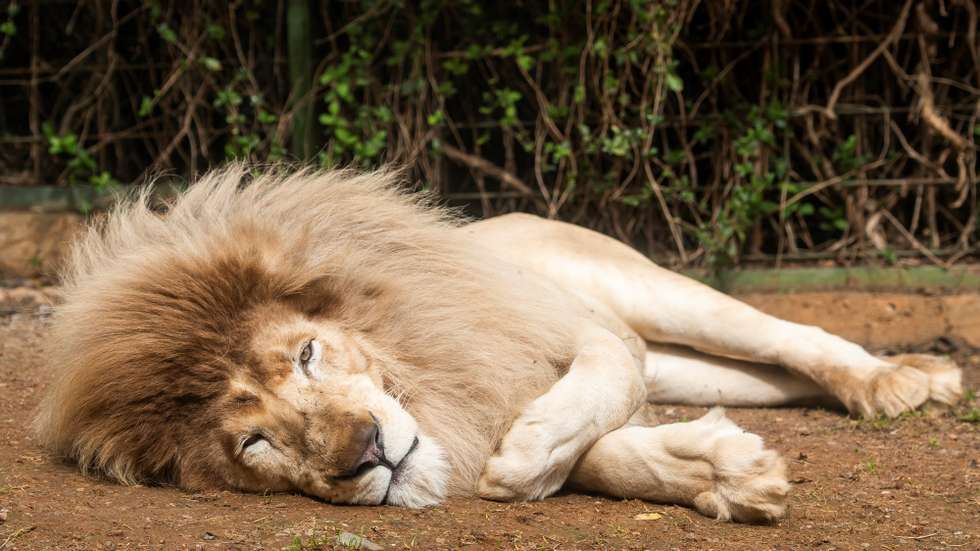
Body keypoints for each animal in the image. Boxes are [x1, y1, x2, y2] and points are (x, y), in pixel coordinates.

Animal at [34, 166, 962, 522]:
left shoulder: (584, 330)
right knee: (764, 376)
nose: (366, 452)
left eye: (306, 355)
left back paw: (900, 383)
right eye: (253, 443)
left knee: (787, 335)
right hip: (705, 370)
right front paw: (727, 473)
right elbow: (611, 455)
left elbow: (595, 387)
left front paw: (528, 452)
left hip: (644, 293)